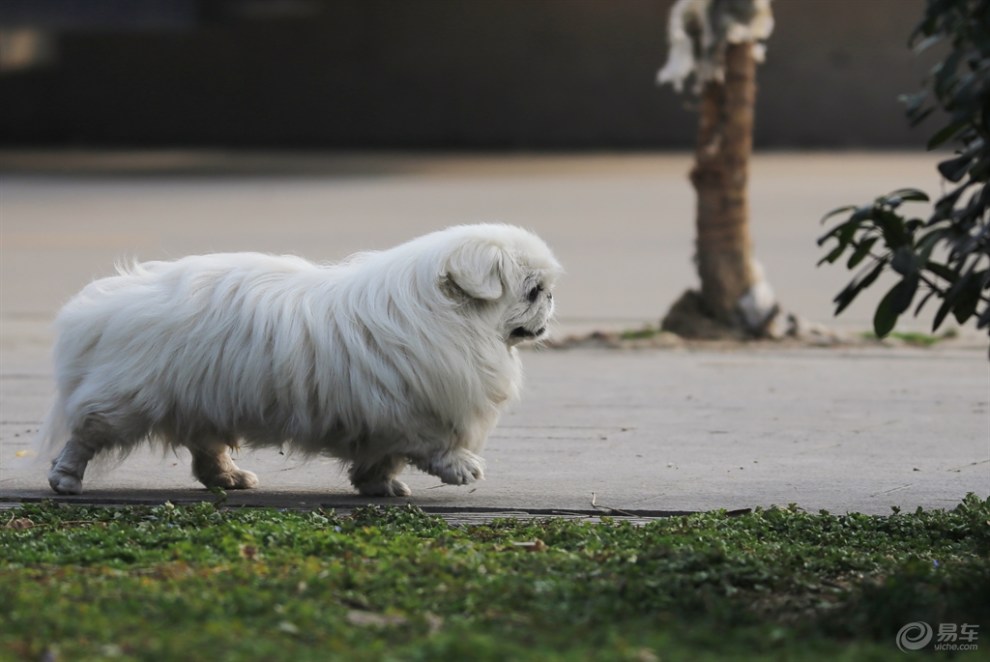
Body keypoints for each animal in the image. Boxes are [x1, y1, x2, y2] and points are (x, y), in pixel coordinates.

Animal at [42, 224, 560, 498]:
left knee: (205, 449)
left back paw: (230, 478)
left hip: (201, 400)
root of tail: (103, 301)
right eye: (532, 291)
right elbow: (432, 444)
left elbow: (384, 457)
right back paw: (65, 478)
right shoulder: (414, 410)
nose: (552, 301)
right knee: (84, 436)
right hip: (124, 403)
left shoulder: (385, 419)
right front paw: (462, 469)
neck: (449, 319)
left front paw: (378, 486)